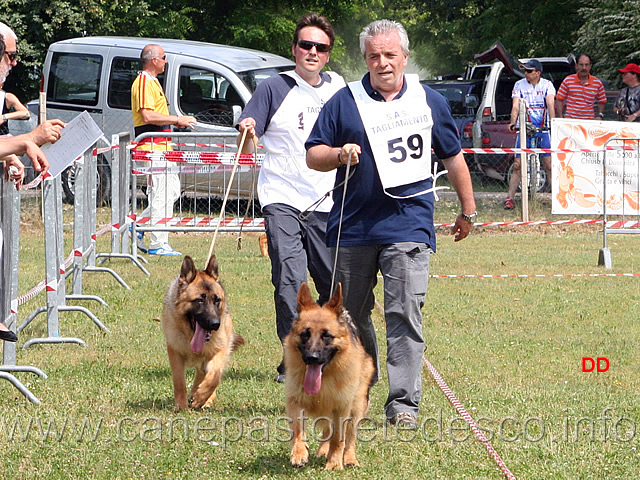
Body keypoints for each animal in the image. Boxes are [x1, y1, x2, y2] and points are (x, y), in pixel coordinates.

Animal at [162, 256, 245, 410]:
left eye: (217, 300)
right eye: (199, 300)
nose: (215, 324)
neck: (190, 336)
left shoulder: (219, 351)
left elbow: (215, 376)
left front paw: (201, 397)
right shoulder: (175, 354)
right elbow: (179, 381)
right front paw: (182, 406)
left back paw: (205, 399)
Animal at [284, 282, 376, 468]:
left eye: (327, 336)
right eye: (305, 334)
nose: (312, 358)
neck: (324, 378)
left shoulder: (342, 407)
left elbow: (339, 439)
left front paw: (334, 463)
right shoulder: (295, 401)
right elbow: (297, 429)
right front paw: (299, 453)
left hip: (357, 406)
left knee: (350, 438)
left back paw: (349, 458)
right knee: (327, 431)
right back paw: (322, 451)